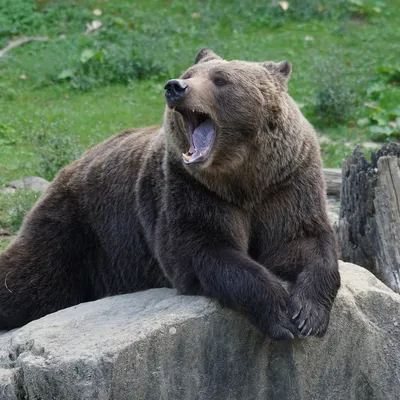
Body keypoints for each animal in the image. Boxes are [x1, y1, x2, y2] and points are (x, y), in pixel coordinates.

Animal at [0, 48, 340, 340]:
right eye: (188, 73)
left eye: (220, 79)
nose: (175, 87)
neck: (242, 178)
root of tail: (69, 167)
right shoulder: (190, 189)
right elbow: (203, 249)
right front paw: (280, 313)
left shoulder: (286, 183)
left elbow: (303, 241)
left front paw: (308, 315)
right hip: (80, 228)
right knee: (30, 278)